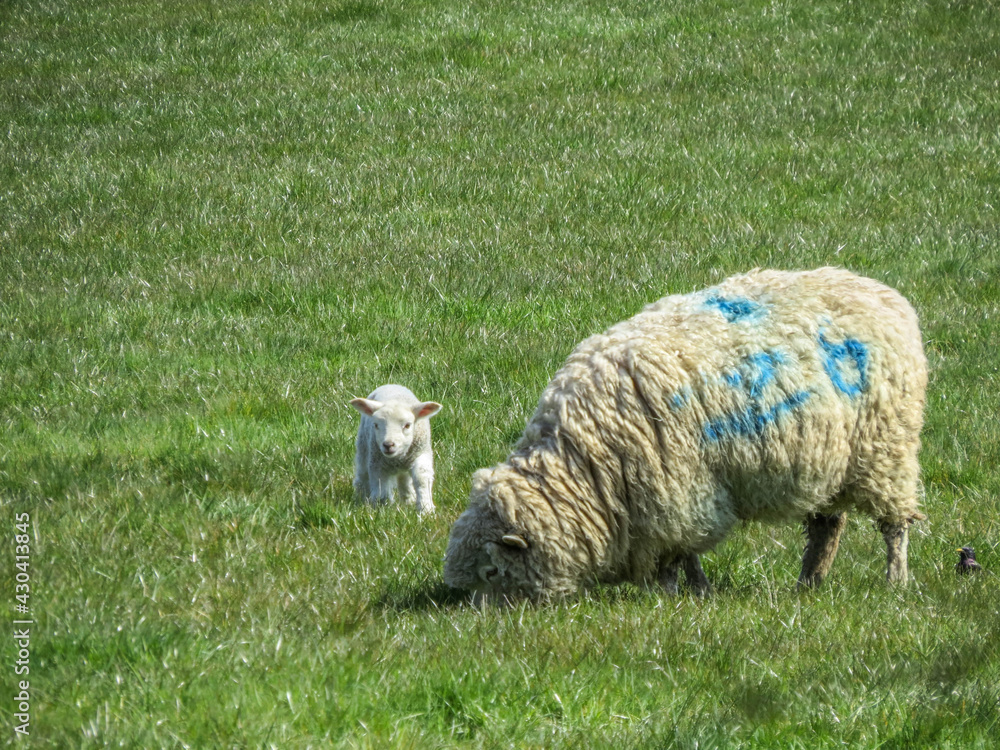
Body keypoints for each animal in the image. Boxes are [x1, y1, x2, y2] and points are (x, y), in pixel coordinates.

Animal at [354, 388, 444, 516]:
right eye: (376, 425)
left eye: (407, 425)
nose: (388, 445)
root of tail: (390, 385)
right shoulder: (377, 463)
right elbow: (381, 486)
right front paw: (382, 509)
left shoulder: (421, 453)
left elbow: (421, 478)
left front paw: (425, 508)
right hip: (364, 446)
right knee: (363, 473)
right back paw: (361, 495)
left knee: (404, 479)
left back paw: (408, 500)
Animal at [446, 268, 928, 604]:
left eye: (492, 573)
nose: (481, 621)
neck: (584, 463)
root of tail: (883, 293)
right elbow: (684, 552)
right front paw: (696, 591)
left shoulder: (679, 495)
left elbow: (679, 555)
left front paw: (681, 595)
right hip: (828, 458)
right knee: (828, 525)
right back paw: (809, 582)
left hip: (887, 448)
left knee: (894, 525)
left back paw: (896, 580)